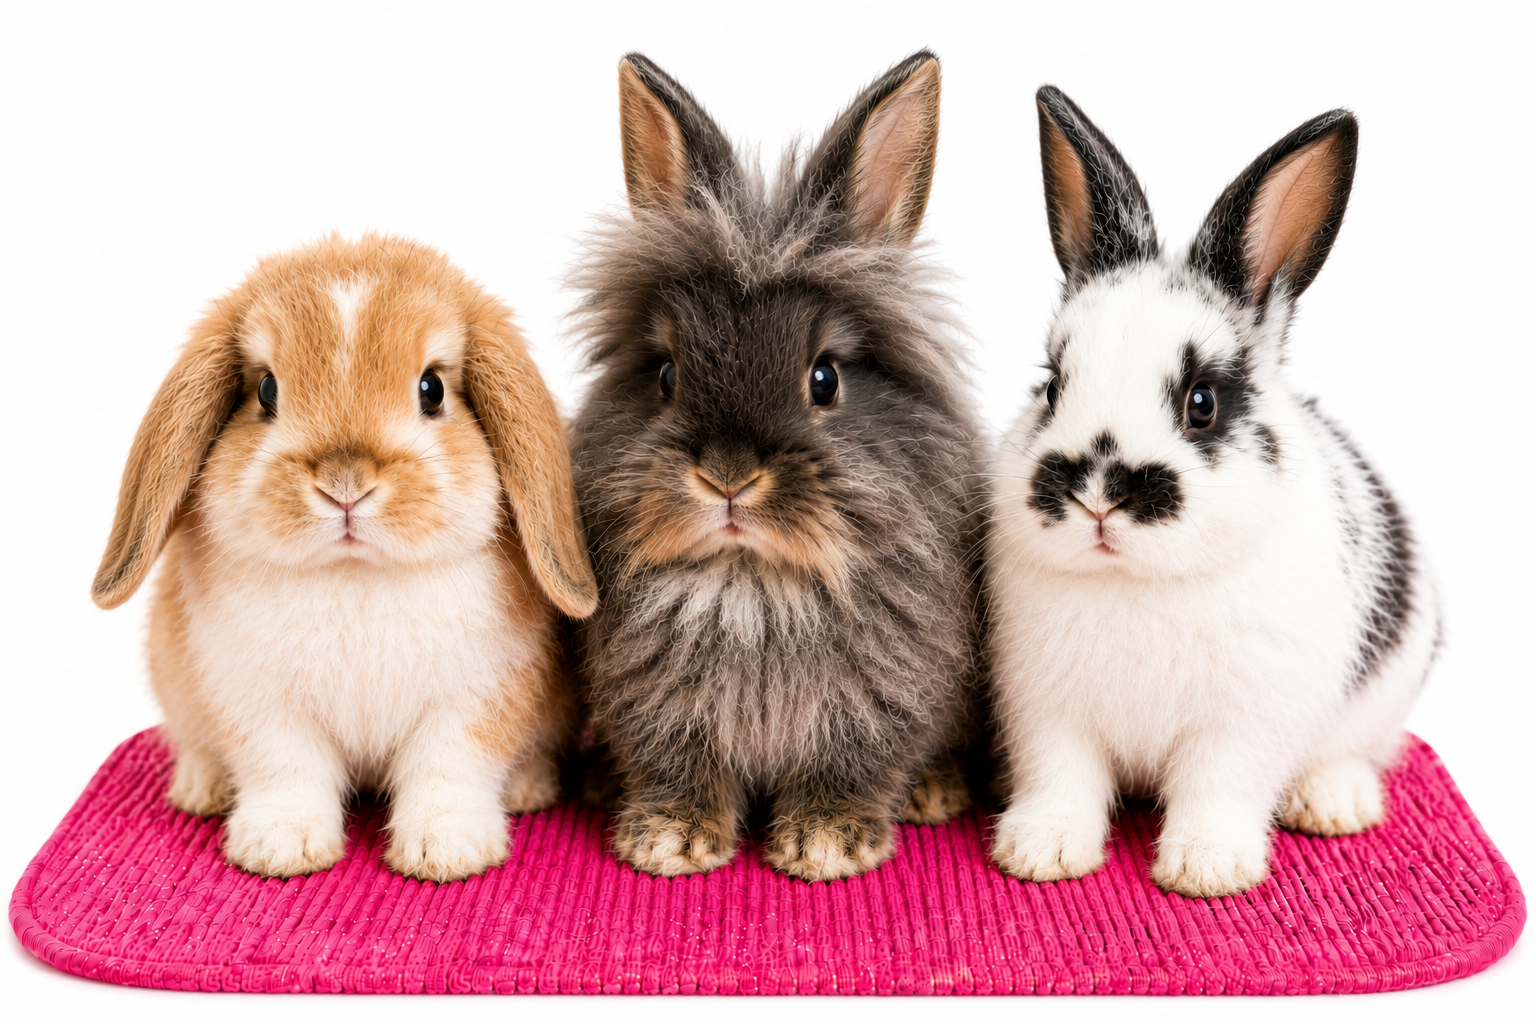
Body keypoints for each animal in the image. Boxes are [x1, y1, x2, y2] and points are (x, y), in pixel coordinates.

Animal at [91, 233, 598, 882]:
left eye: (432, 390)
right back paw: (200, 788)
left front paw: (446, 851)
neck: (356, 573)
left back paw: (529, 789)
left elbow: (449, 769)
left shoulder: (478, 700)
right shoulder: (258, 703)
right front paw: (281, 848)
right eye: (266, 390)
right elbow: (287, 770)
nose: (345, 483)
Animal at [567, 51, 985, 881]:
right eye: (666, 374)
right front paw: (669, 841)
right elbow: (678, 763)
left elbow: (848, 764)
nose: (728, 477)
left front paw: (826, 842)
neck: (752, 582)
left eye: (824, 378)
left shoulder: (876, 703)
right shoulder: (656, 703)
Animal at [985, 88, 1439, 898]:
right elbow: (1062, 782)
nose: (1097, 494)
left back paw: (1334, 803)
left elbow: (1217, 788)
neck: (1137, 583)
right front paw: (1042, 853)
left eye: (1203, 402)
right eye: (1053, 384)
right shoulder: (1048, 714)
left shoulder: (1242, 727)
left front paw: (1207, 868)